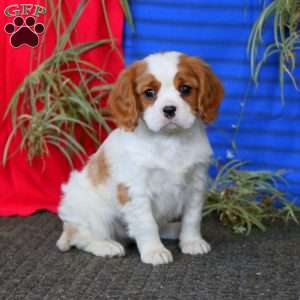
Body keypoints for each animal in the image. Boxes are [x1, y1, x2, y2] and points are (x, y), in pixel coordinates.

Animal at [57, 51, 224, 264]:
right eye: (149, 93)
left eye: (185, 89)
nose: (169, 109)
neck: (170, 140)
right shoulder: (135, 190)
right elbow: (146, 224)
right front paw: (154, 251)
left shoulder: (196, 184)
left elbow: (192, 218)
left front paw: (192, 242)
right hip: (91, 213)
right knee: (83, 237)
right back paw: (105, 246)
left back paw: (173, 229)